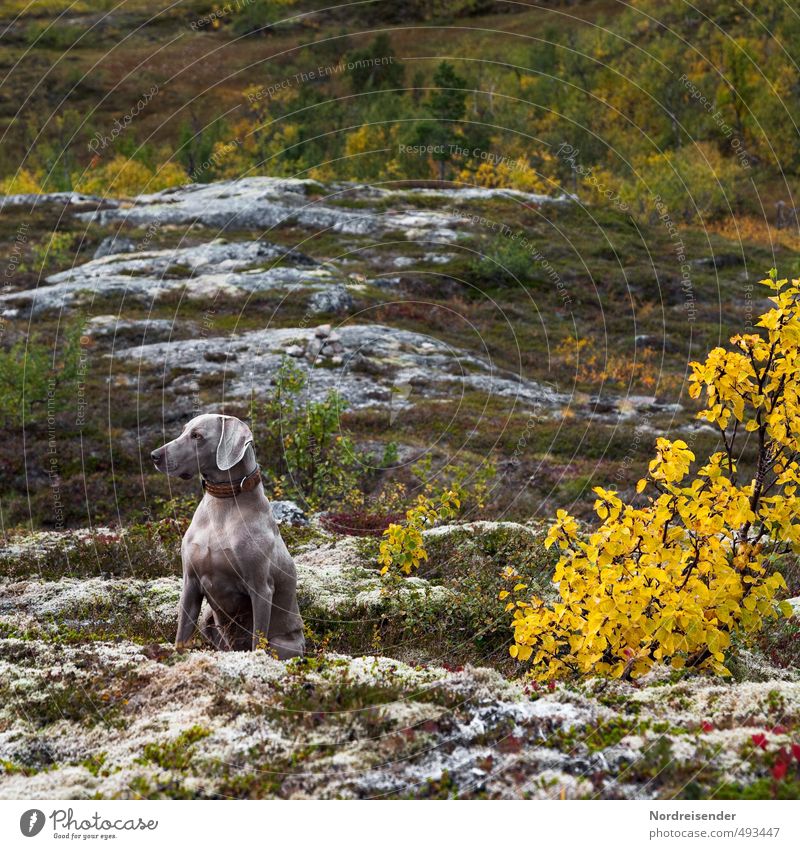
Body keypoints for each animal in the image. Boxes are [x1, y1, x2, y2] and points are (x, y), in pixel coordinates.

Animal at [150, 414, 304, 660]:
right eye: (183, 430)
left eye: (197, 436)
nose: (154, 455)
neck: (222, 504)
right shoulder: (190, 583)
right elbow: (181, 636)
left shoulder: (261, 589)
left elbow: (257, 641)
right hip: (206, 618)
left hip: (284, 643)